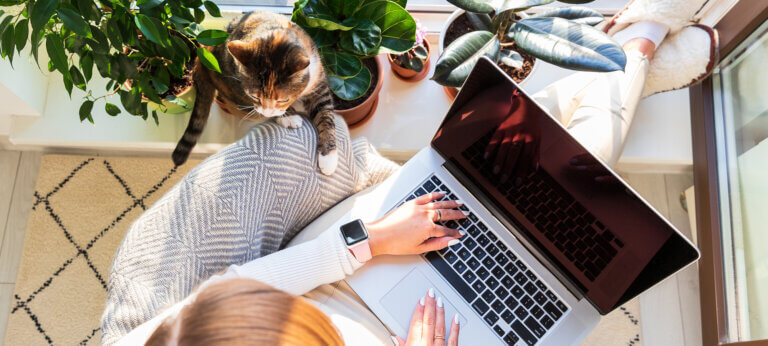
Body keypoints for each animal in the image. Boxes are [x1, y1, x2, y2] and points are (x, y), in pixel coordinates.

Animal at [172, 11, 338, 174]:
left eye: (283, 100)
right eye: (254, 96)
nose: (268, 112)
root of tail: (205, 53)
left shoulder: (319, 83)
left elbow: (326, 114)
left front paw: (328, 156)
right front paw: (287, 117)